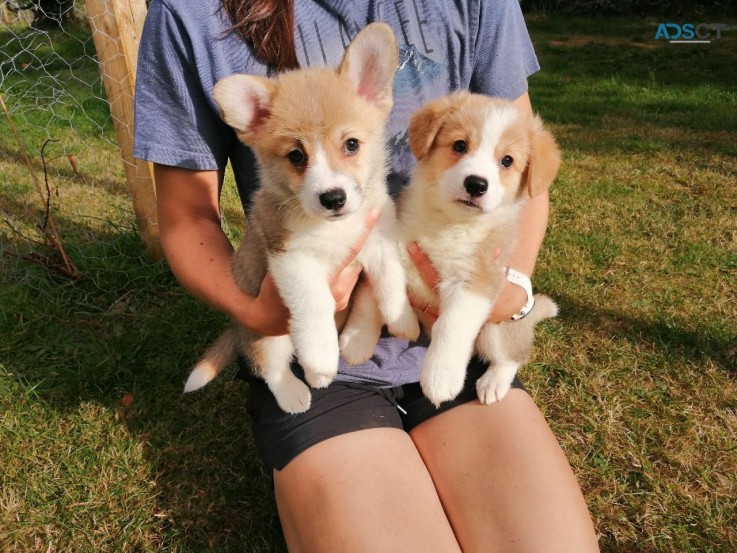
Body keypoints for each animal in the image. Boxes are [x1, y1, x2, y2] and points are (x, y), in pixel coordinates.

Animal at [183, 23, 416, 412]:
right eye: (296, 155)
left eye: (351, 144)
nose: (333, 198)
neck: (335, 228)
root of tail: (236, 326)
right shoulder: (292, 260)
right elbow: (315, 304)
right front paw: (321, 360)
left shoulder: (380, 241)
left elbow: (391, 282)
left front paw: (405, 321)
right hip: (267, 332)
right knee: (269, 365)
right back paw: (296, 391)